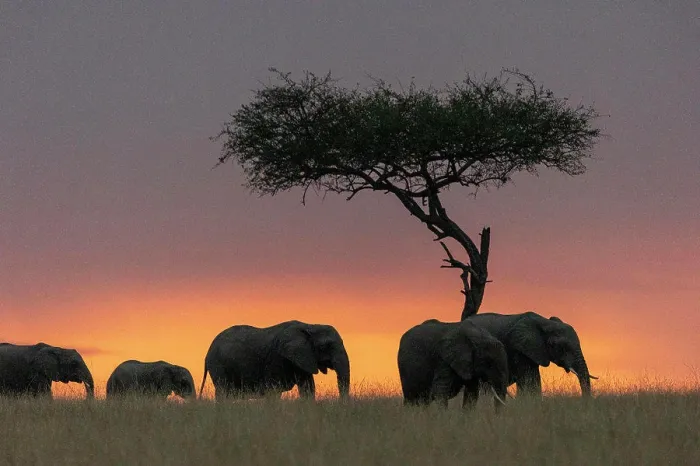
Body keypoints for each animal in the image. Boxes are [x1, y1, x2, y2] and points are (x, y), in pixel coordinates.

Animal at [200, 320, 350, 401]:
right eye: (325, 346)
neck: (310, 325)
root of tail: (207, 354)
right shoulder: (277, 358)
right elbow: (274, 389)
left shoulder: (302, 359)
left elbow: (308, 387)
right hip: (218, 365)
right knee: (222, 391)